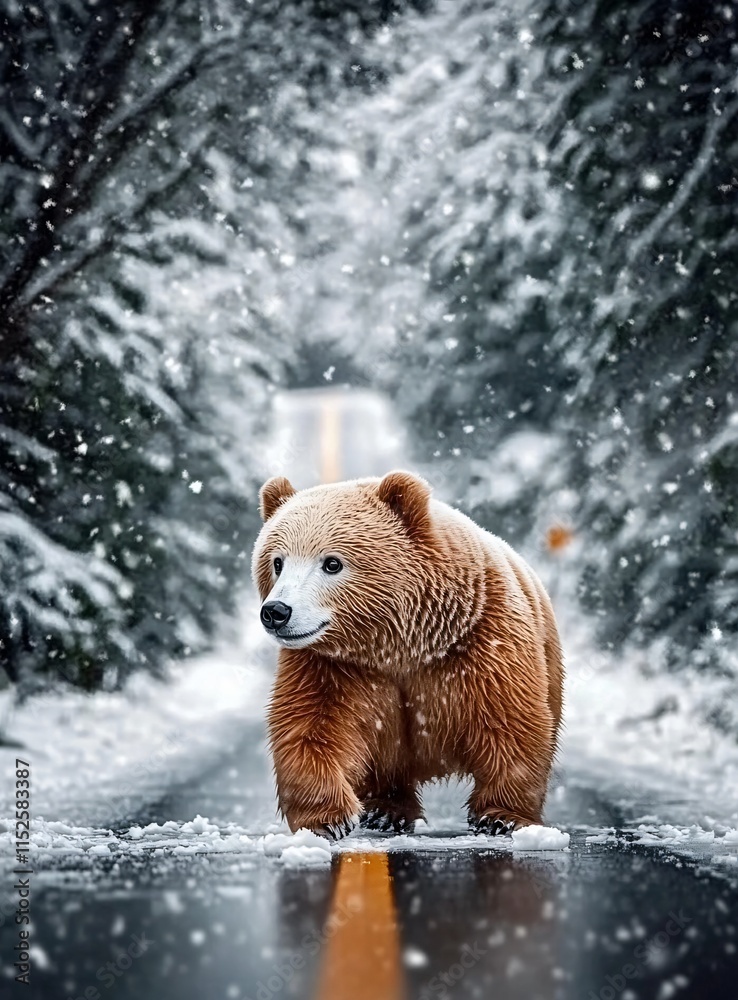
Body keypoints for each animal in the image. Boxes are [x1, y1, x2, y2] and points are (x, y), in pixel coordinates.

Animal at [251, 470, 563, 840]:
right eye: (277, 561)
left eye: (332, 562)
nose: (276, 611)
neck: (401, 645)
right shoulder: (332, 664)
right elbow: (311, 724)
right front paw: (329, 819)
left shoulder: (481, 639)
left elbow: (509, 719)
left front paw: (501, 817)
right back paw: (386, 811)